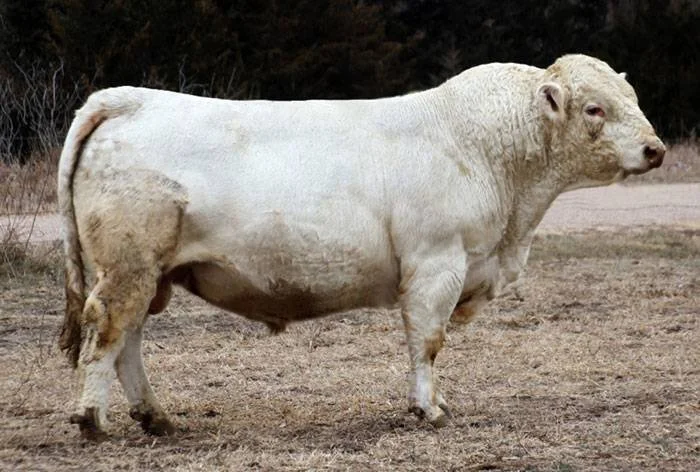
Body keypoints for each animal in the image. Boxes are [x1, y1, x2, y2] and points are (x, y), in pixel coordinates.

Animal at [57, 54, 664, 440]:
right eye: (594, 108)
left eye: (632, 99)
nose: (655, 149)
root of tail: (129, 99)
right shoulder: (436, 263)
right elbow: (428, 341)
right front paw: (429, 409)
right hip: (129, 264)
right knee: (109, 328)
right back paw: (92, 419)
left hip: (148, 271)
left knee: (129, 340)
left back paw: (155, 418)